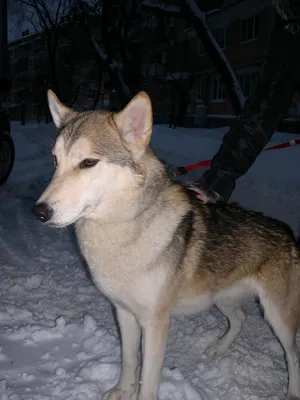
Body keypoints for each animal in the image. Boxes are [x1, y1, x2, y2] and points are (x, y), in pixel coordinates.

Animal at [32, 90, 300, 400]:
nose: (39, 212)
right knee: (241, 320)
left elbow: (147, 381)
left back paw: (293, 391)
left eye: (88, 162)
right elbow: (129, 360)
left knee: (293, 354)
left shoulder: (155, 323)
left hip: (276, 316)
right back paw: (218, 348)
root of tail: (288, 231)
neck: (123, 229)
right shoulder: (123, 312)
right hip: (222, 298)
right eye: (55, 160)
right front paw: (121, 391)